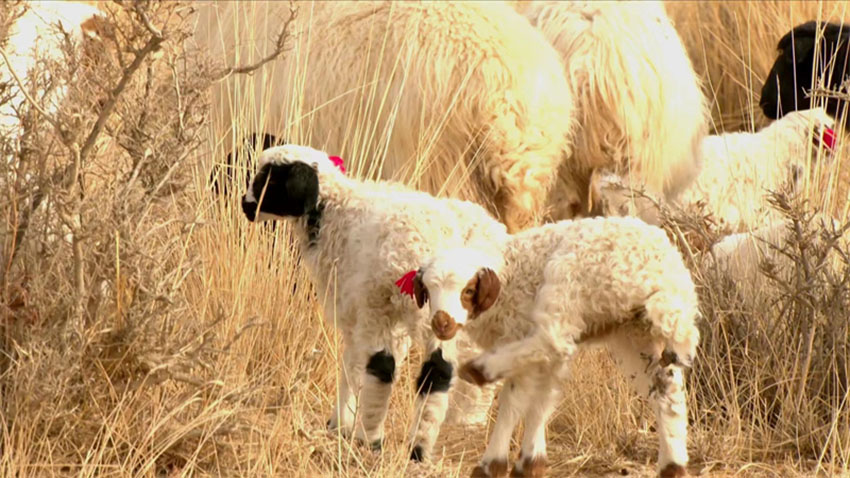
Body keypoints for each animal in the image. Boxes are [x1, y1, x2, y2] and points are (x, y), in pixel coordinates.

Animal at [237, 145, 510, 460]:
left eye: (268, 179)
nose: (245, 205)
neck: (334, 213)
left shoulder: (361, 310)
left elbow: (354, 365)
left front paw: (341, 424)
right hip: (454, 314)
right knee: (444, 371)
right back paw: (430, 442)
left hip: (390, 307)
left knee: (387, 367)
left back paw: (373, 438)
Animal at [408, 218, 700, 478]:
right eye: (428, 290)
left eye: (468, 291)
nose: (441, 323)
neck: (508, 277)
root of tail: (660, 270)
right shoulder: (546, 361)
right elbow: (543, 398)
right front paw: (530, 463)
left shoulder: (517, 332)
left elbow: (514, 400)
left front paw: (492, 465)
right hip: (636, 332)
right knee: (666, 392)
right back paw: (673, 466)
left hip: (568, 279)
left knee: (552, 338)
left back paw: (481, 368)